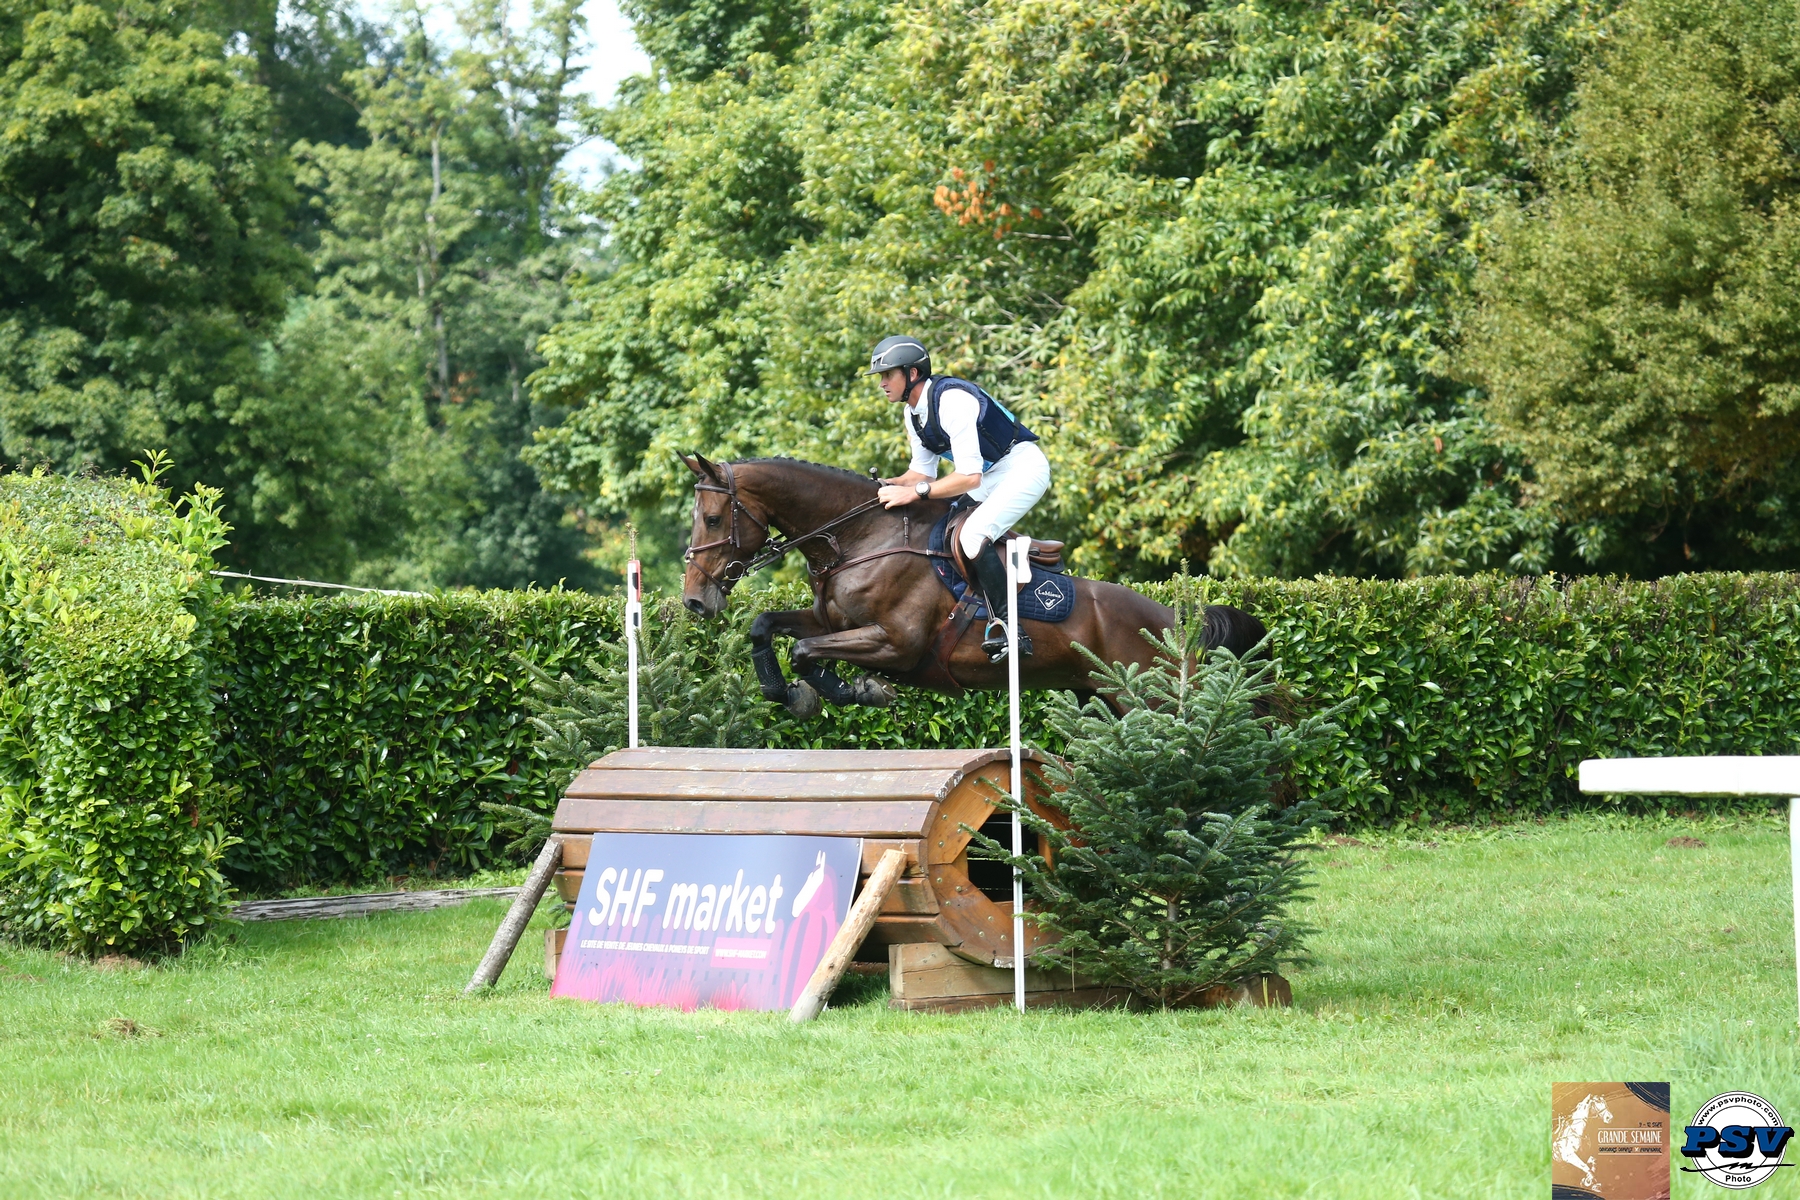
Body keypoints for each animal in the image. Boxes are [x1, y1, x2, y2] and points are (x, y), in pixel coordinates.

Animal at [678, 454, 1266, 717]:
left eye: (712, 519)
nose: (694, 601)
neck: (859, 538)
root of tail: (1176, 621)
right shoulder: (831, 621)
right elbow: (766, 626)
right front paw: (786, 693)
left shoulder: (896, 643)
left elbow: (804, 651)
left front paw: (859, 690)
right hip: (1096, 694)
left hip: (1149, 699)